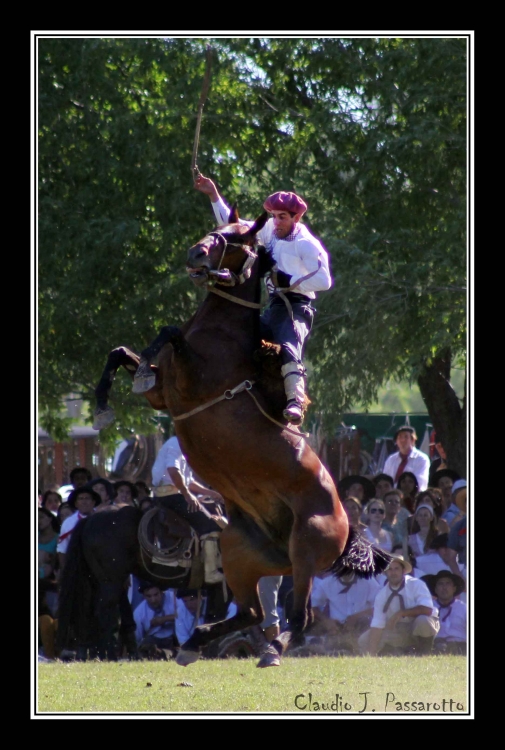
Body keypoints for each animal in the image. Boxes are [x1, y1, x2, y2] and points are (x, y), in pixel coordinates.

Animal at [80, 207, 392, 668]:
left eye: (238, 238)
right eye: (217, 226)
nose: (196, 254)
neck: (219, 330)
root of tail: (348, 525)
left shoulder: (192, 380)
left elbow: (168, 331)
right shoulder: (164, 396)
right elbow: (122, 353)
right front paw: (104, 404)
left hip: (305, 547)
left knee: (298, 615)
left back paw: (271, 650)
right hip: (240, 553)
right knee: (252, 612)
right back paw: (195, 643)